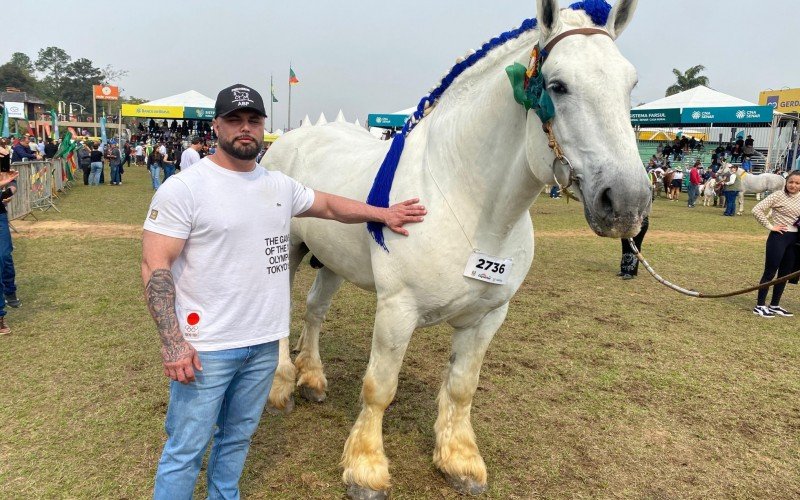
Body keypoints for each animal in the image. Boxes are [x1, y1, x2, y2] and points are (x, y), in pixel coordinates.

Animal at [262, 1, 648, 498]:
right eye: (558, 85)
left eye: (630, 85)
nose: (627, 203)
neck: (468, 202)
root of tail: (291, 139)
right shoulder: (397, 309)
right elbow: (379, 386)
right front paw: (366, 468)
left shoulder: (488, 315)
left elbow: (462, 386)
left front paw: (460, 460)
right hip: (287, 252)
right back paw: (281, 386)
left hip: (332, 261)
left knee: (314, 309)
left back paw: (311, 377)